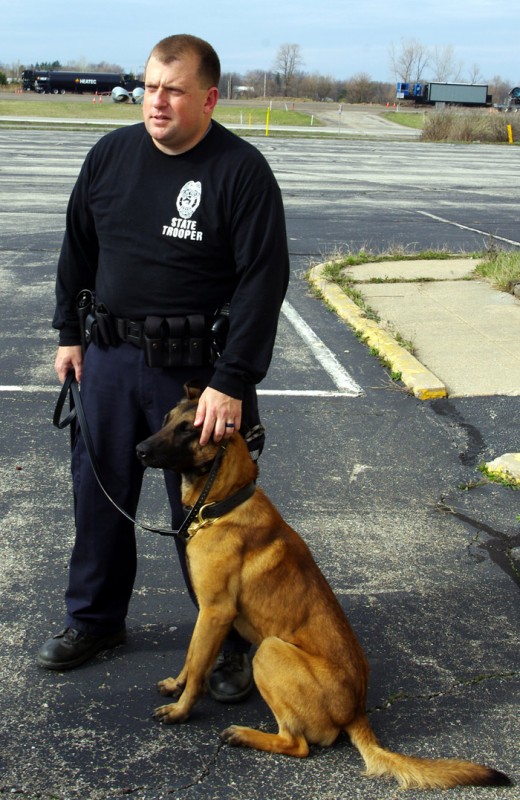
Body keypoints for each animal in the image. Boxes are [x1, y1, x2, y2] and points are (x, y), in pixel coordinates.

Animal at [136, 384, 510, 792]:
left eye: (189, 430)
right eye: (167, 420)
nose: (139, 449)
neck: (226, 500)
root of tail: (357, 712)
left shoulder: (216, 612)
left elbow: (199, 671)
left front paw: (180, 710)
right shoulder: (206, 615)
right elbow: (192, 658)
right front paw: (176, 684)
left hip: (270, 650)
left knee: (297, 744)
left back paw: (245, 735)